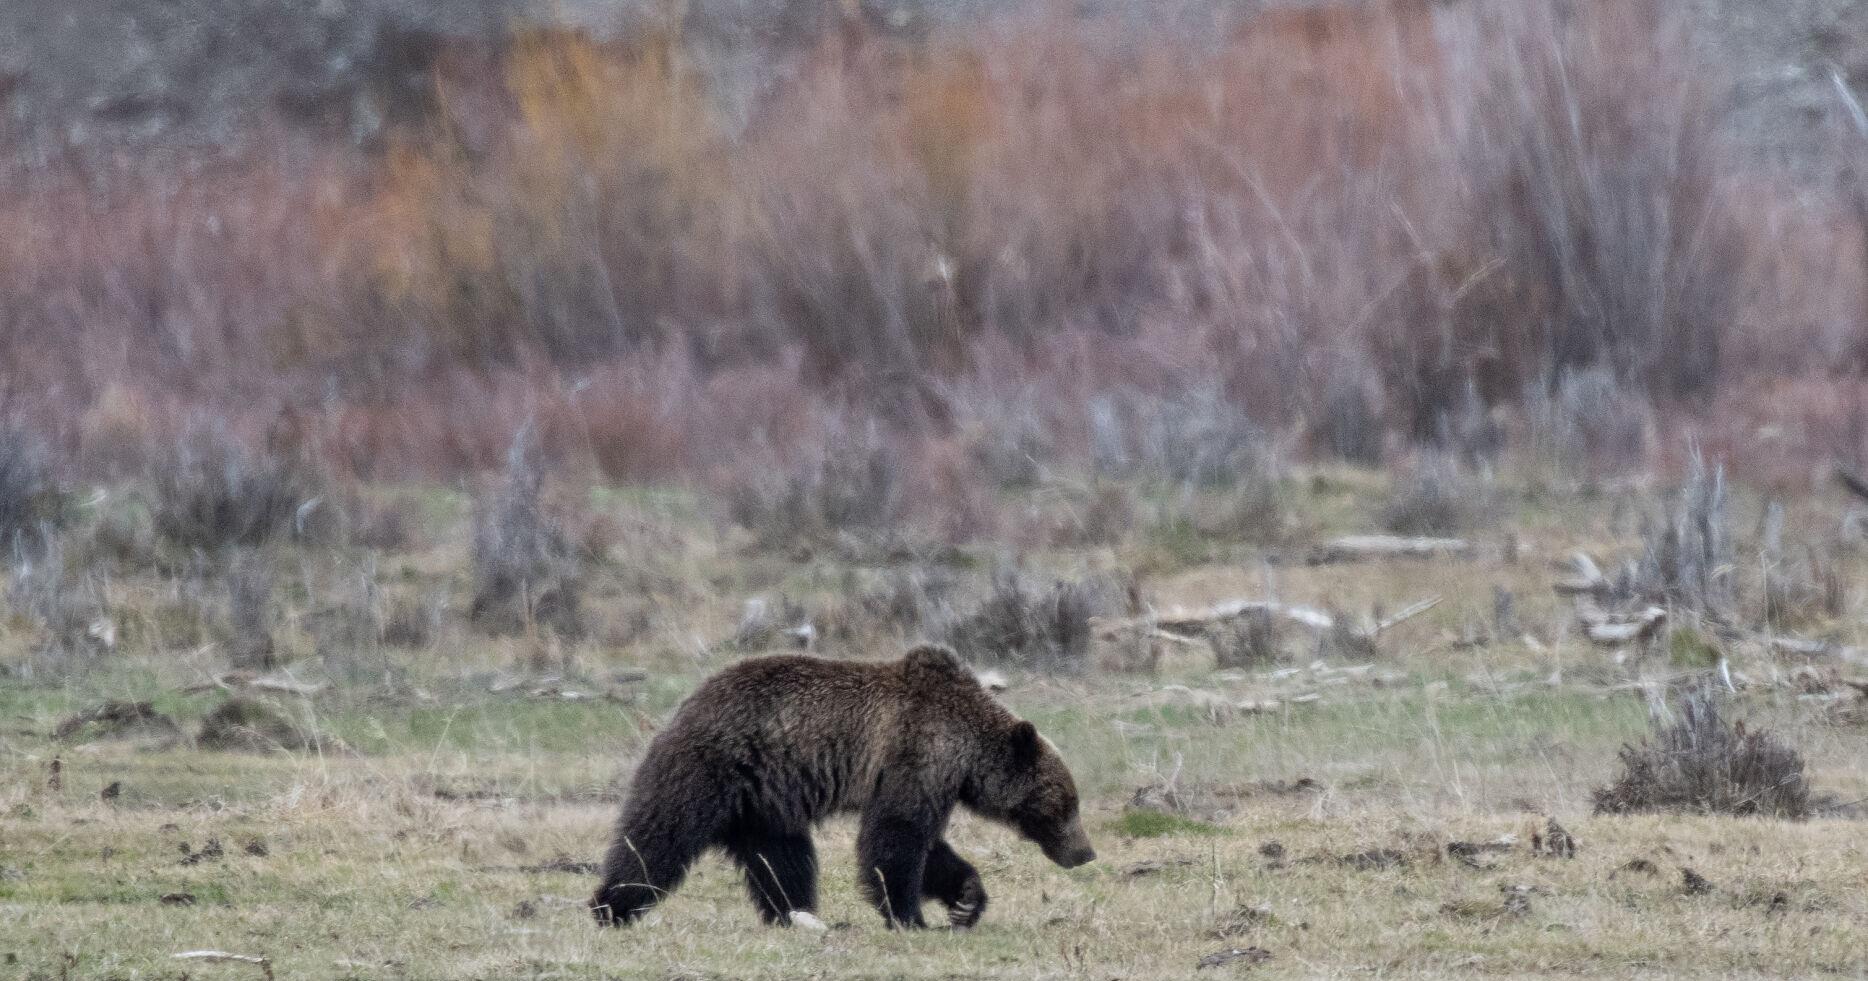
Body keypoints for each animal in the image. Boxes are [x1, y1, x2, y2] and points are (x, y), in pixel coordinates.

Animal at [591, 643, 1094, 929]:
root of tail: (684, 705)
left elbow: (926, 846)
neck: (965, 750)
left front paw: (967, 900)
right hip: (710, 769)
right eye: (1066, 804)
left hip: (766, 803)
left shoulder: (926, 775)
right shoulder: (916, 757)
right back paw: (611, 906)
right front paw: (911, 916)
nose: (1086, 852)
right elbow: (897, 838)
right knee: (658, 837)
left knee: (782, 861)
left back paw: (795, 915)